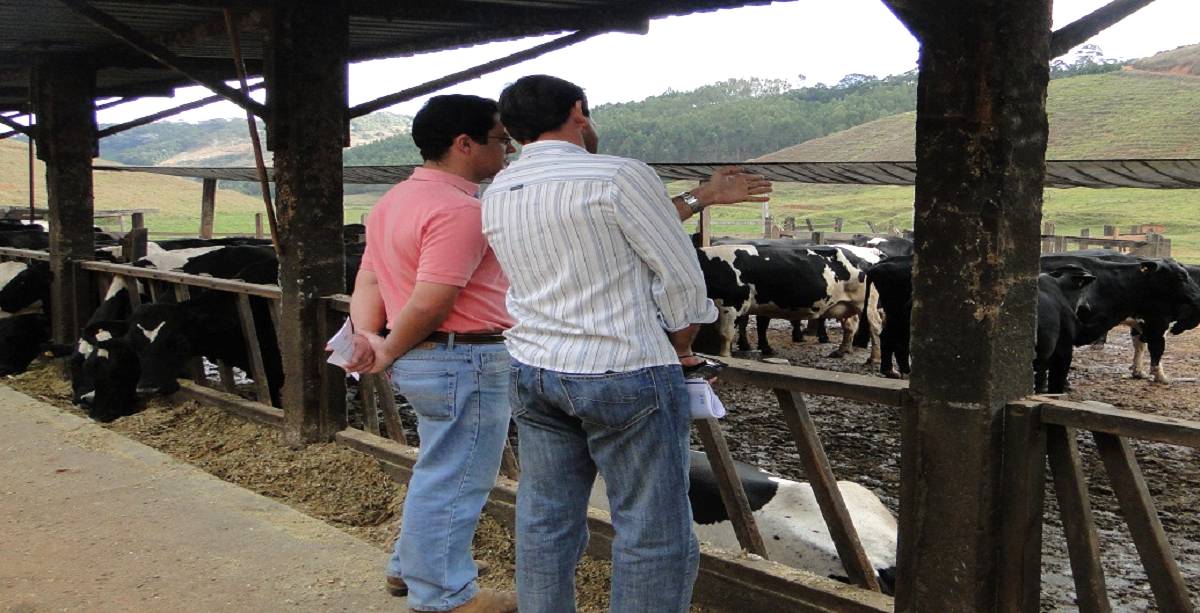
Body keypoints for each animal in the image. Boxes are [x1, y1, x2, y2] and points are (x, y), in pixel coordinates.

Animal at [696, 243, 883, 359]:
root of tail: (870, 252)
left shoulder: (731, 304)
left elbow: (725, 333)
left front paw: (725, 356)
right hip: (846, 305)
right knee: (850, 325)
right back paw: (841, 350)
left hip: (867, 304)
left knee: (875, 327)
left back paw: (874, 358)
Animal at [1041, 251, 1200, 381]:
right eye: (1181, 276)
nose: (1197, 296)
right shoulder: (1158, 321)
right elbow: (1157, 348)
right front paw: (1161, 377)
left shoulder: (1140, 322)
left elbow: (1140, 346)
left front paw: (1138, 372)